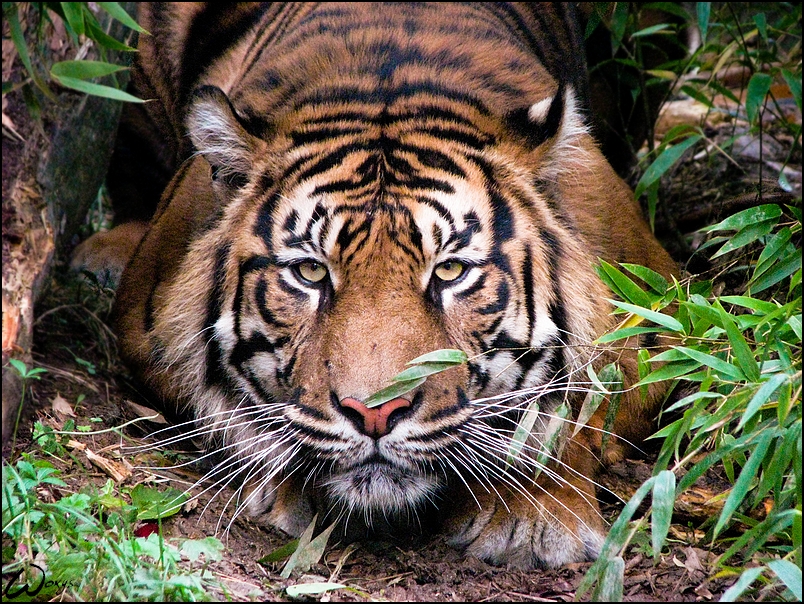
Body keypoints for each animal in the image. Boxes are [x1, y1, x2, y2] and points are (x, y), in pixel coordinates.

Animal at [74, 2, 680, 568]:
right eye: (310, 272)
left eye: (450, 271)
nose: (374, 415)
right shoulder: (148, 331)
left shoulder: (659, 317)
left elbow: (578, 411)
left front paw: (536, 521)